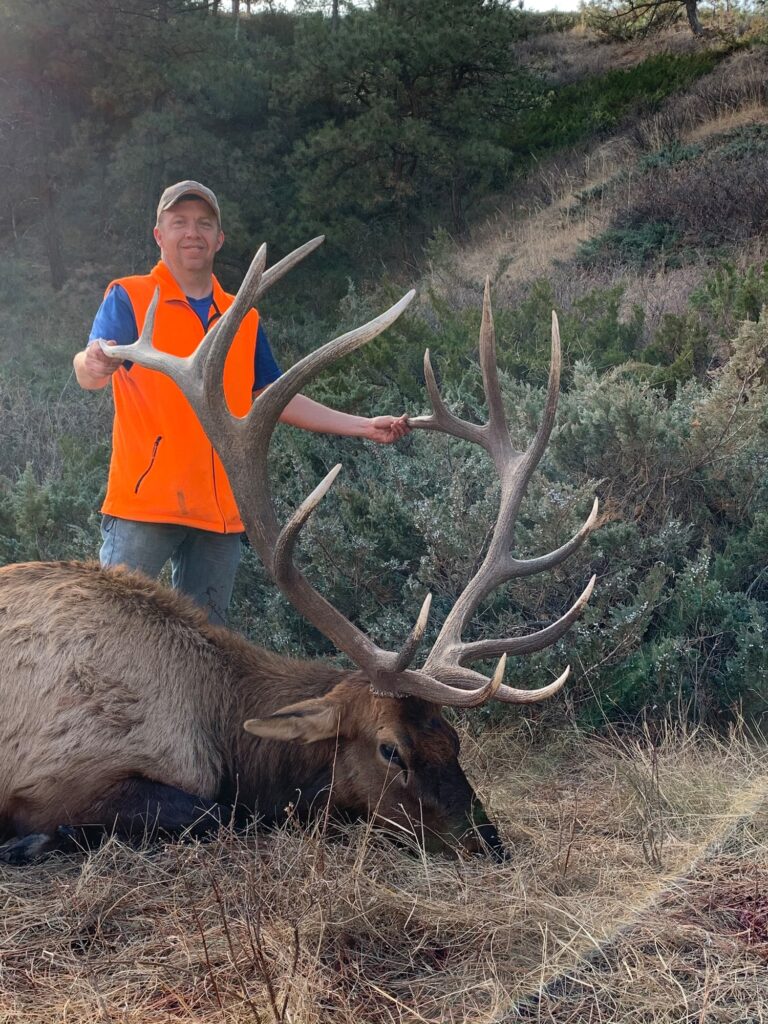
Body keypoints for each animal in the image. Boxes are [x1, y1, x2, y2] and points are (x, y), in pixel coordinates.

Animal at [0, 237, 598, 864]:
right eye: (391, 749)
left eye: (452, 739)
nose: (489, 842)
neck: (222, 729)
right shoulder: (60, 773)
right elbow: (214, 812)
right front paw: (27, 843)